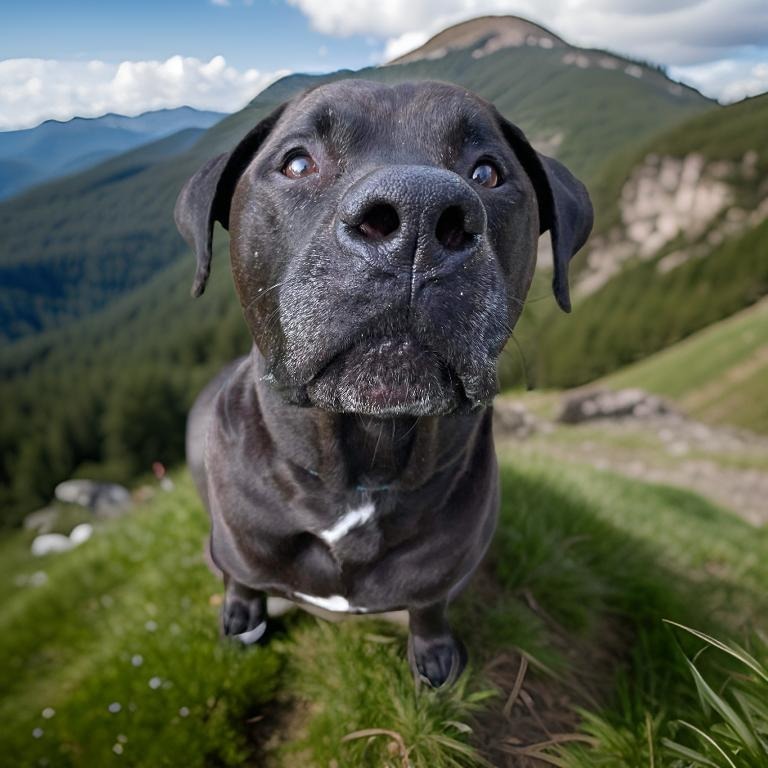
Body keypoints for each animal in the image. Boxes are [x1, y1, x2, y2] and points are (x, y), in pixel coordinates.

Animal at [176, 79, 592, 688]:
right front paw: (241, 622)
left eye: (487, 172)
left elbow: (429, 607)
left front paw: (435, 658)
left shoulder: (441, 573)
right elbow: (243, 581)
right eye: (297, 162)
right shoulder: (238, 547)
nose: (418, 214)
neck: (359, 479)